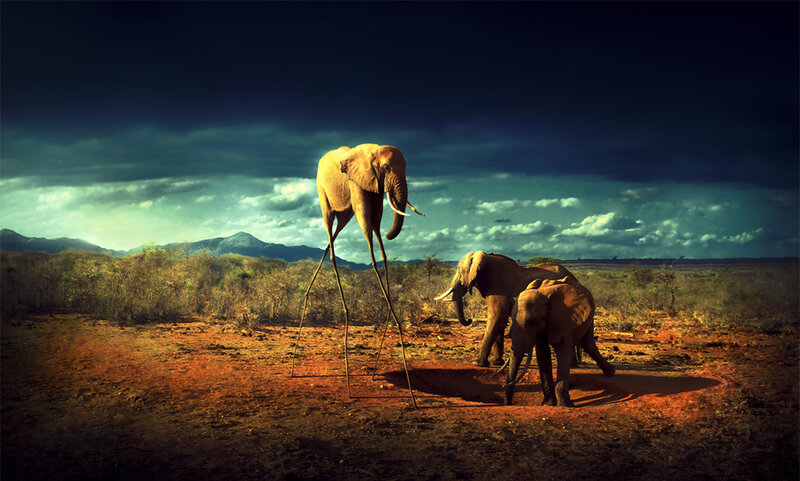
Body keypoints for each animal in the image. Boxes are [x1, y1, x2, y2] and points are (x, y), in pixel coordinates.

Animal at [434, 251, 581, 367]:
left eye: (459, 270)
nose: (469, 320)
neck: (485, 258)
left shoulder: (498, 288)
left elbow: (498, 317)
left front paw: (479, 363)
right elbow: (500, 320)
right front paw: (497, 363)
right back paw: (573, 365)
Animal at [504, 278, 615, 407]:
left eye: (532, 321)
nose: (508, 403)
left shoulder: (562, 319)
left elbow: (562, 351)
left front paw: (565, 405)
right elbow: (543, 355)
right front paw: (548, 404)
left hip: (589, 317)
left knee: (588, 344)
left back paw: (610, 372)